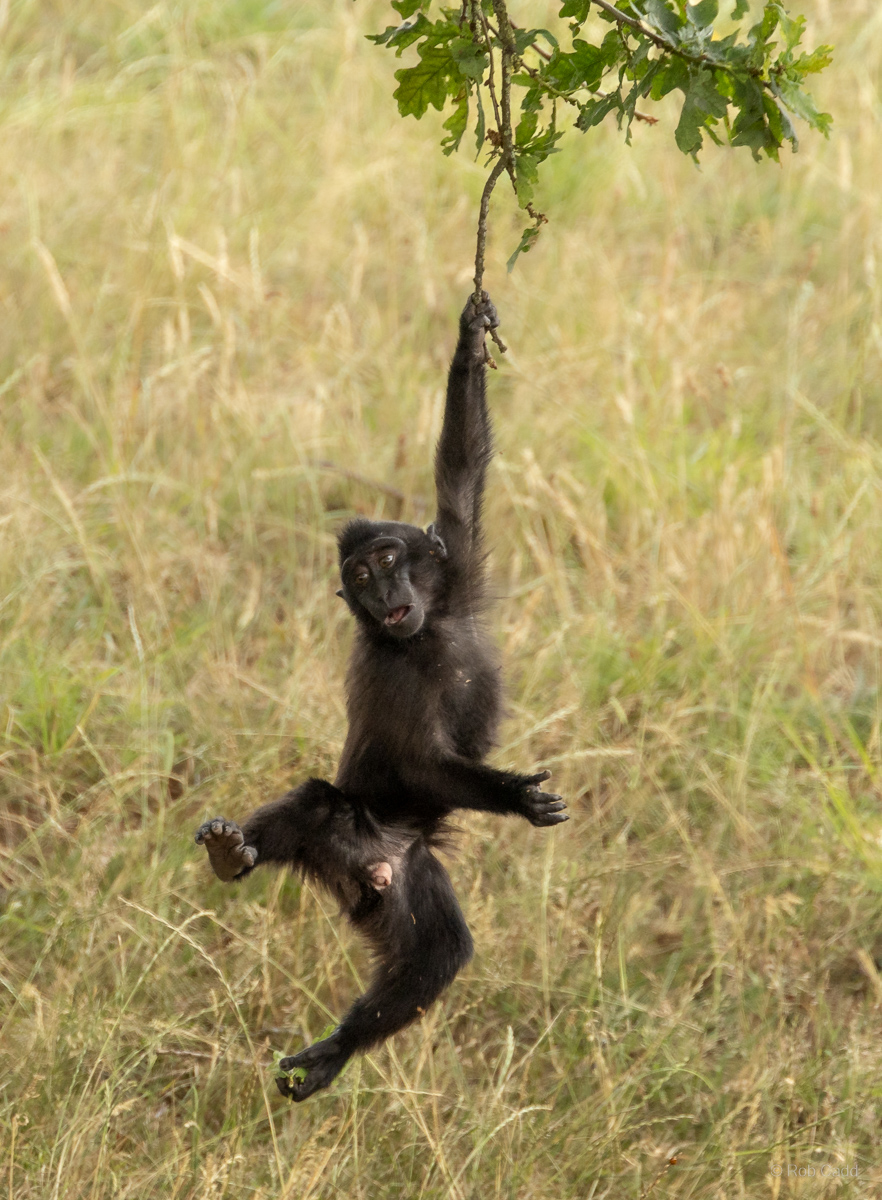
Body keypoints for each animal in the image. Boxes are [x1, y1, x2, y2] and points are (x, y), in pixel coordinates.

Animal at [195, 292, 567, 1101]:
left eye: (392, 558)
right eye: (360, 576)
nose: (385, 590)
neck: (421, 638)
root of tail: (364, 874)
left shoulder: (454, 567)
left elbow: (460, 476)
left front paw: (470, 337)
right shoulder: (391, 676)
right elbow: (423, 760)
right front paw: (520, 796)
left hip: (411, 879)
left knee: (436, 955)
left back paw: (335, 1050)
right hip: (351, 831)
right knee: (313, 805)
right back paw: (234, 855)